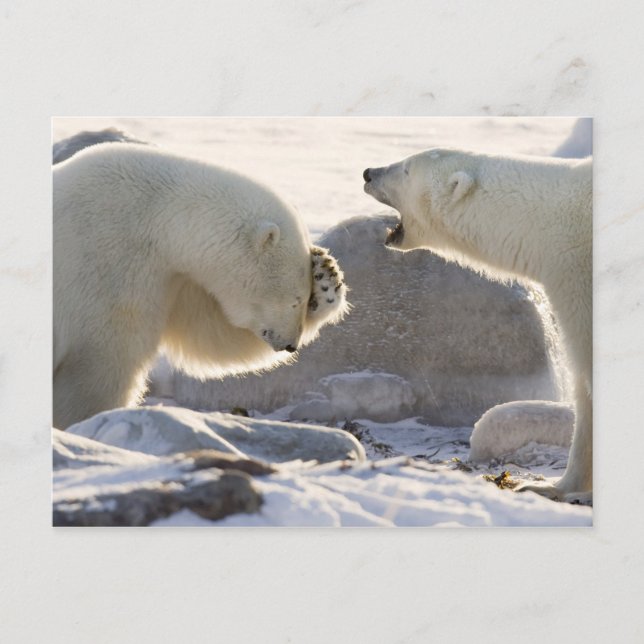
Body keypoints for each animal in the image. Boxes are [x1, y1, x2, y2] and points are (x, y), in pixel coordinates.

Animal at [53, 139, 347, 429]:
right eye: (295, 299)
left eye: (306, 298)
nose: (291, 344)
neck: (157, 217)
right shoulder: (110, 265)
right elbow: (101, 367)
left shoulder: (173, 277)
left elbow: (210, 333)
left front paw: (326, 277)